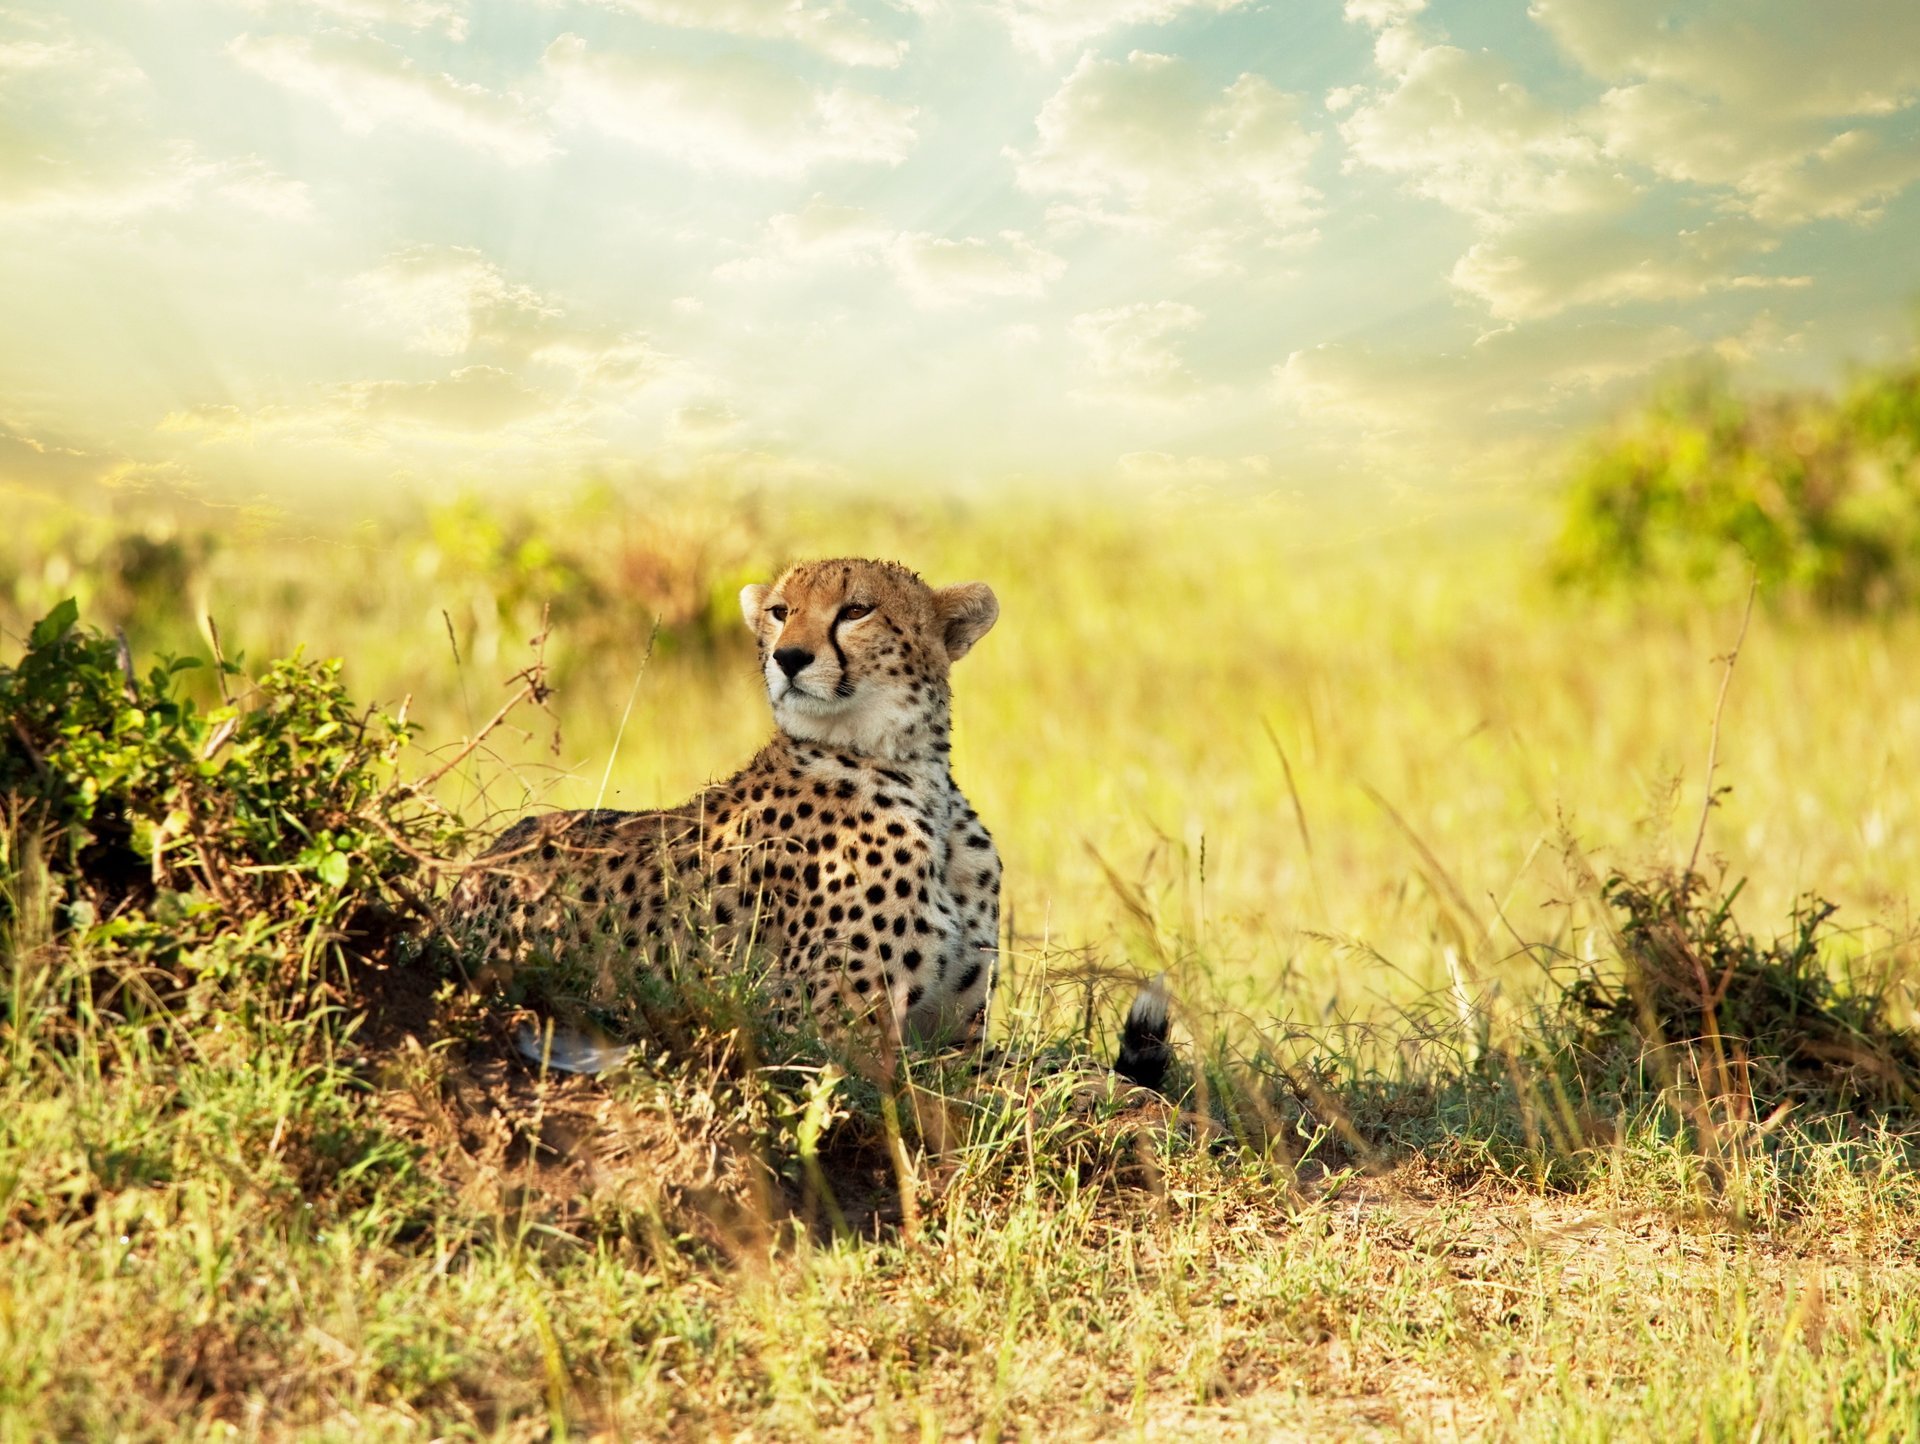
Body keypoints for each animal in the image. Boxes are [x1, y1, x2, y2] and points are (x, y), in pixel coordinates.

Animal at [444, 555, 1171, 1090]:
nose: (787, 657)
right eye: (780, 612)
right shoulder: (831, 1038)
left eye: (855, 609)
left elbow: (1022, 1061)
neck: (909, 773)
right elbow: (1025, 1074)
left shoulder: (953, 1027)